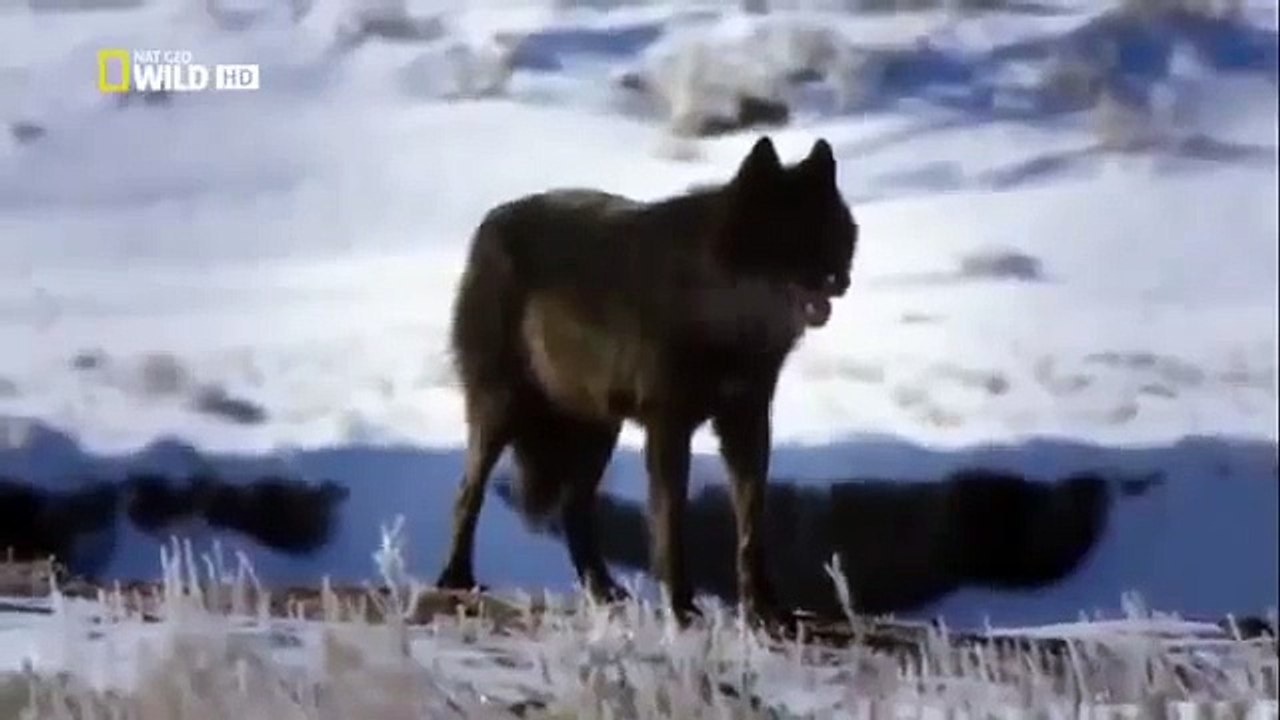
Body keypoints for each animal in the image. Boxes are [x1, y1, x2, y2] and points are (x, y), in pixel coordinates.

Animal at [434, 135, 858, 624]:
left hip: (599, 430)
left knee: (574, 509)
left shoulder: (747, 421)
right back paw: (456, 577)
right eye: (790, 235)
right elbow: (670, 522)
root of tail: (489, 222)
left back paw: (602, 589)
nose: (838, 280)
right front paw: (681, 607)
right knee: (467, 492)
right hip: (502, 410)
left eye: (832, 232)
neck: (722, 316)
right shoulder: (668, 426)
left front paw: (764, 607)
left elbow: (752, 523)